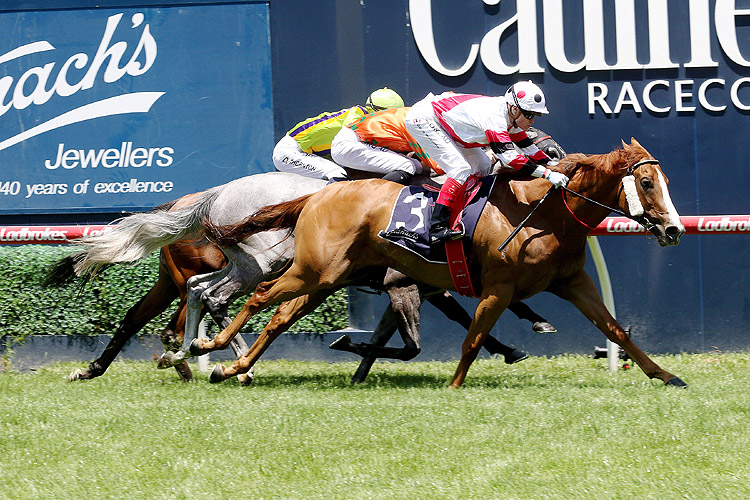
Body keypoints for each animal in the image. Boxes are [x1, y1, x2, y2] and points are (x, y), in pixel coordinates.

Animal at [198, 139, 688, 388]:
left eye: (665, 179)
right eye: (647, 182)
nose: (673, 229)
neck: (543, 213)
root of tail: (319, 194)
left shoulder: (573, 281)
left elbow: (616, 330)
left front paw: (665, 376)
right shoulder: (496, 288)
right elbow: (473, 337)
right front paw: (455, 386)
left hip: (326, 278)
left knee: (279, 315)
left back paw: (231, 367)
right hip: (311, 270)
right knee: (256, 297)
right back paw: (212, 349)